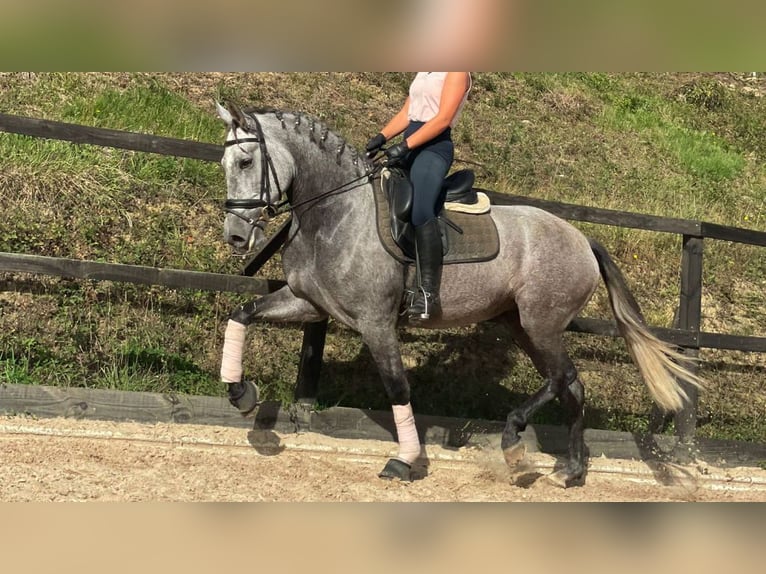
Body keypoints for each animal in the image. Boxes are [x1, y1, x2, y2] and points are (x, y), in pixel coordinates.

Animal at [213, 101, 704, 488]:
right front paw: (240, 394)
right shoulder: (309, 303)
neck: (335, 213)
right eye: (224, 165)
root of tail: (582, 238)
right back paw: (572, 470)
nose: (236, 237)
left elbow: (397, 386)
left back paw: (514, 439)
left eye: (245, 162)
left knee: (562, 377)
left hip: (541, 322)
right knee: (572, 386)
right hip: (520, 324)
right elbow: (242, 313)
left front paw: (405, 460)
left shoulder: (376, 322)